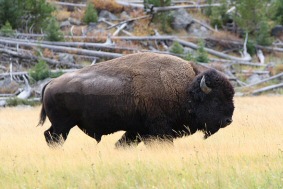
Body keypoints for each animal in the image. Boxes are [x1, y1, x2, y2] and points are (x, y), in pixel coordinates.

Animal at [38, 52, 236, 147]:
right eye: (216, 100)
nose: (228, 120)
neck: (185, 90)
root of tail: (51, 83)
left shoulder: (137, 131)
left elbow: (122, 143)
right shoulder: (159, 130)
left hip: (61, 125)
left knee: (48, 136)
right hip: (63, 125)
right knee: (53, 138)